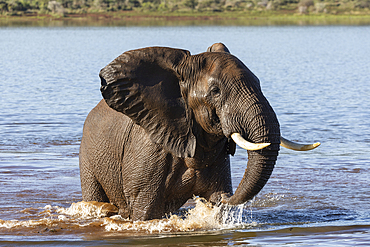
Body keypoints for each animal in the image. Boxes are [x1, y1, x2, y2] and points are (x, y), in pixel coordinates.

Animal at [79, 43, 320, 221]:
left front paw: (217, 200)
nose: (226, 197)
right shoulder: (146, 151)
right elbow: (145, 211)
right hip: (87, 156)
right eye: (215, 91)